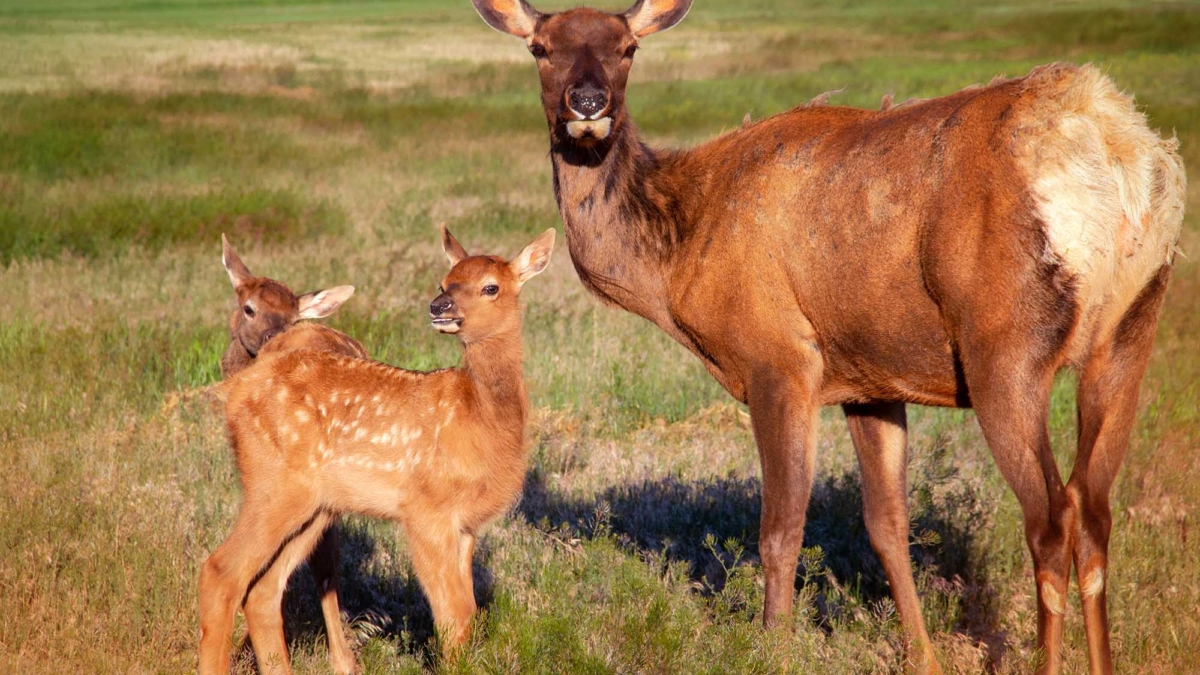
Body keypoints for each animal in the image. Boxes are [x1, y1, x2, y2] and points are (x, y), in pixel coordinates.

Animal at [471, 1, 1187, 673]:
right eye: (541, 48)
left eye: (627, 48)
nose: (587, 104)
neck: (678, 258)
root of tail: (1116, 151)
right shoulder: (871, 378)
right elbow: (887, 525)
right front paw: (921, 657)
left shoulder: (779, 357)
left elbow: (782, 527)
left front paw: (773, 646)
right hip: (1129, 332)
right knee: (1095, 511)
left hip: (1003, 345)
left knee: (1051, 518)